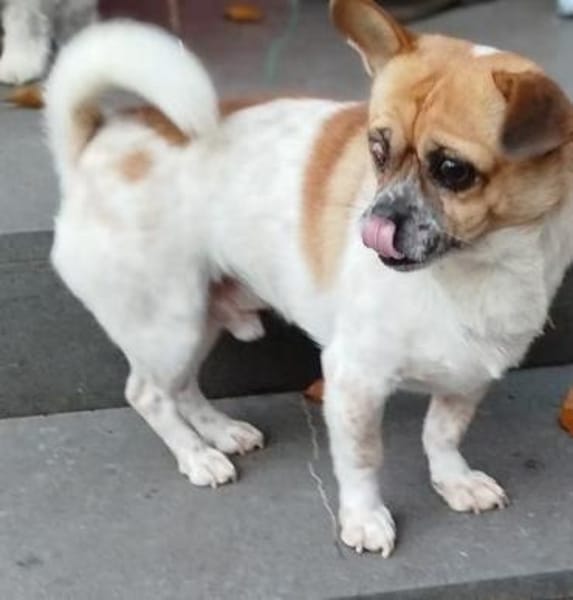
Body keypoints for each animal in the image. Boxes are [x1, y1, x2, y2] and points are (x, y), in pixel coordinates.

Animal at [44, 0, 573, 556]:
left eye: (454, 170)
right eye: (377, 151)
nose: (373, 227)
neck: (478, 269)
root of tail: (92, 146)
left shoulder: (466, 379)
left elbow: (442, 435)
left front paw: (454, 481)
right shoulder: (354, 379)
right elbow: (362, 459)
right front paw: (364, 519)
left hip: (195, 322)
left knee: (182, 388)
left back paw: (221, 432)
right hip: (168, 327)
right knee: (148, 395)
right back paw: (196, 456)